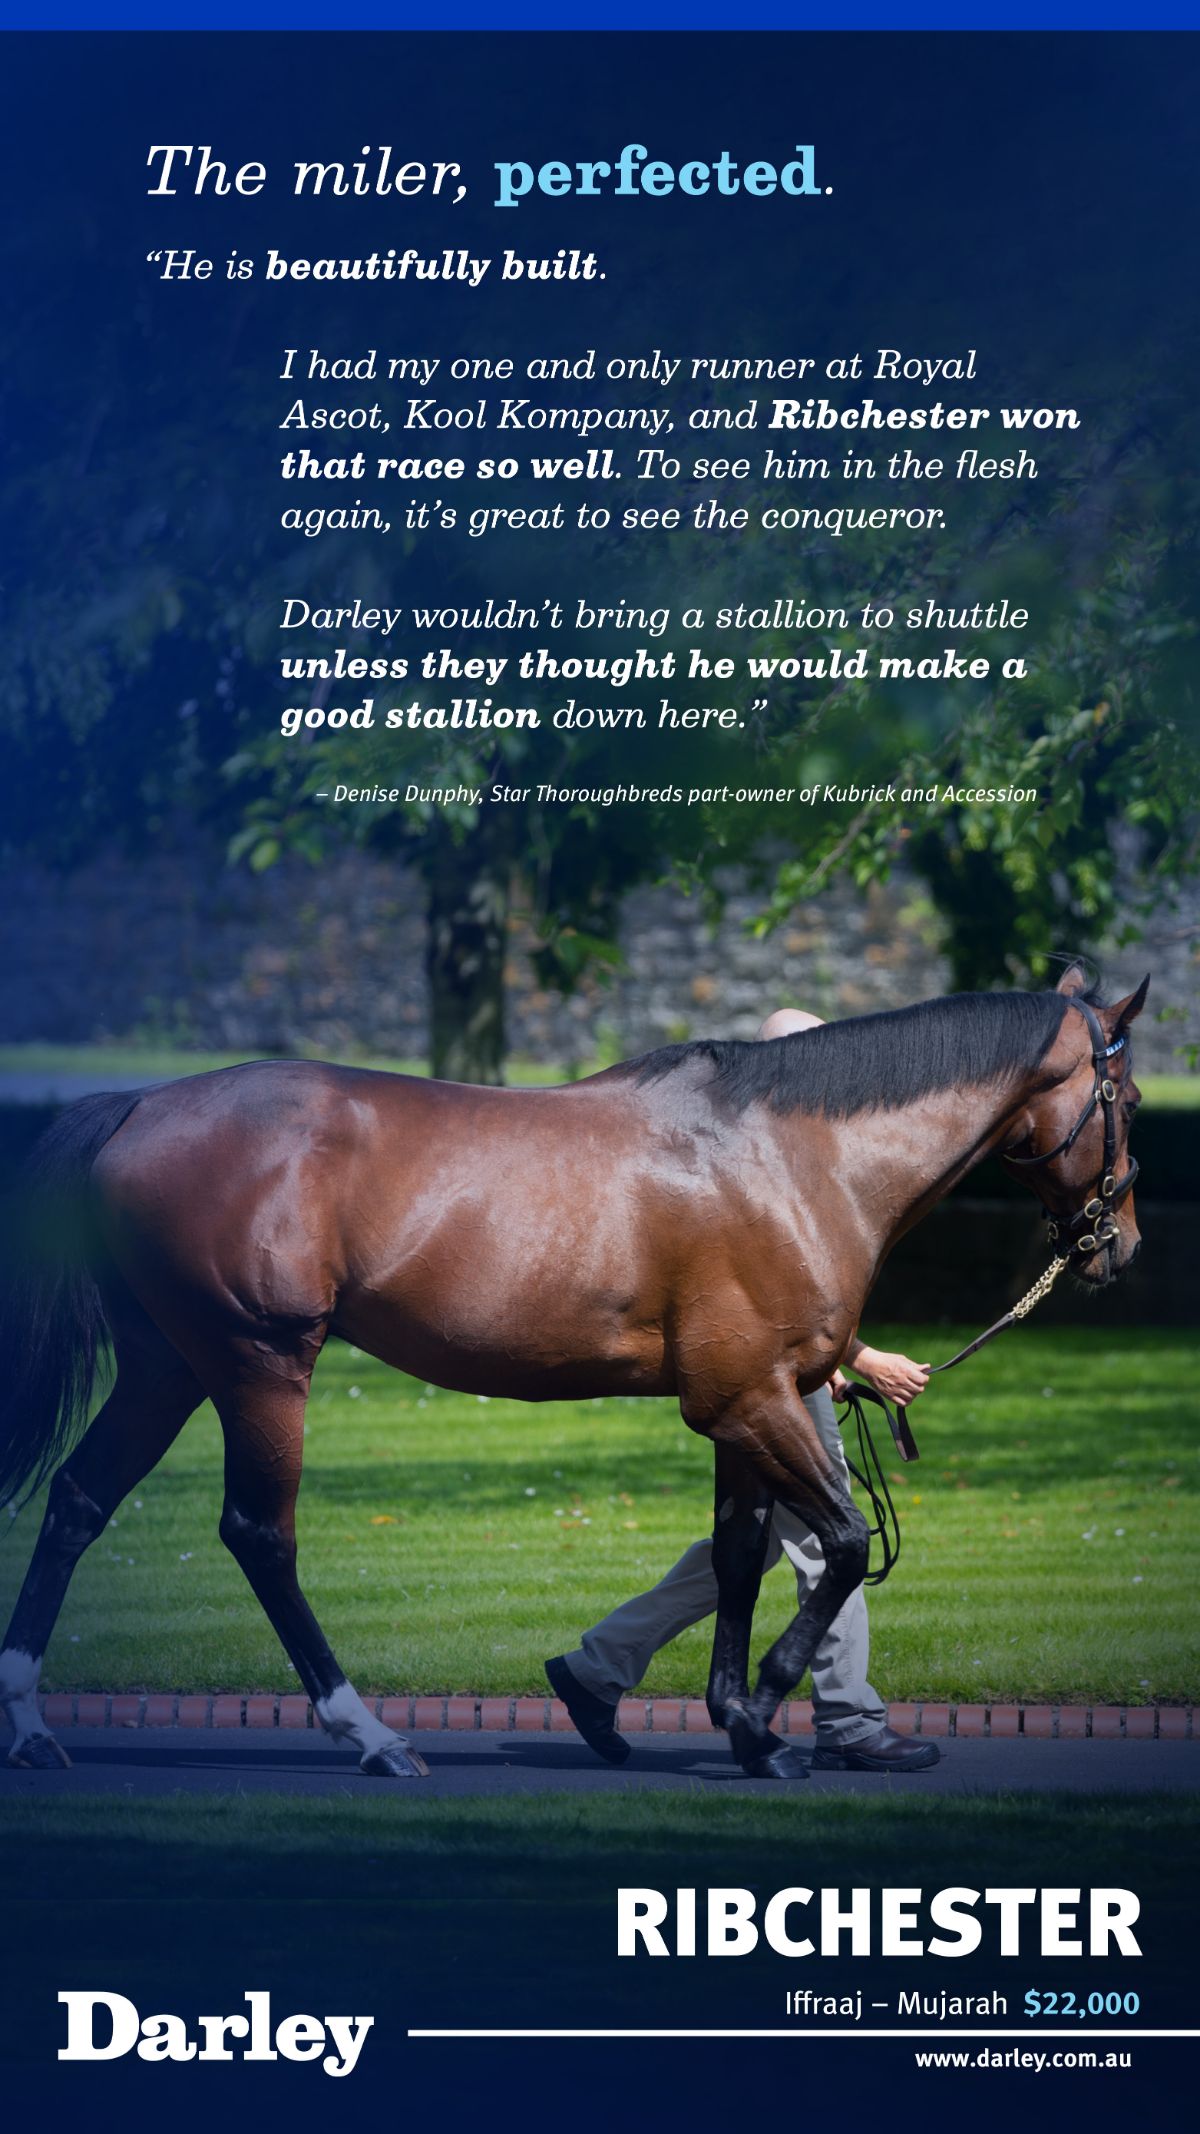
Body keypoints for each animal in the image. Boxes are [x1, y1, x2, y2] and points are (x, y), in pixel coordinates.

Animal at [0, 962, 1146, 1781]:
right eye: (1125, 1092)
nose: (1119, 1245)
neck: (792, 1157)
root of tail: (140, 1108)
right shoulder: (752, 1402)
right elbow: (848, 1542)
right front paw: (768, 1705)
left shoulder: (745, 1406)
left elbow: (738, 1558)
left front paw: (741, 1725)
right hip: (258, 1360)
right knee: (258, 1533)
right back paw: (368, 1733)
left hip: (169, 1363)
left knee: (79, 1499)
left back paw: (30, 1725)